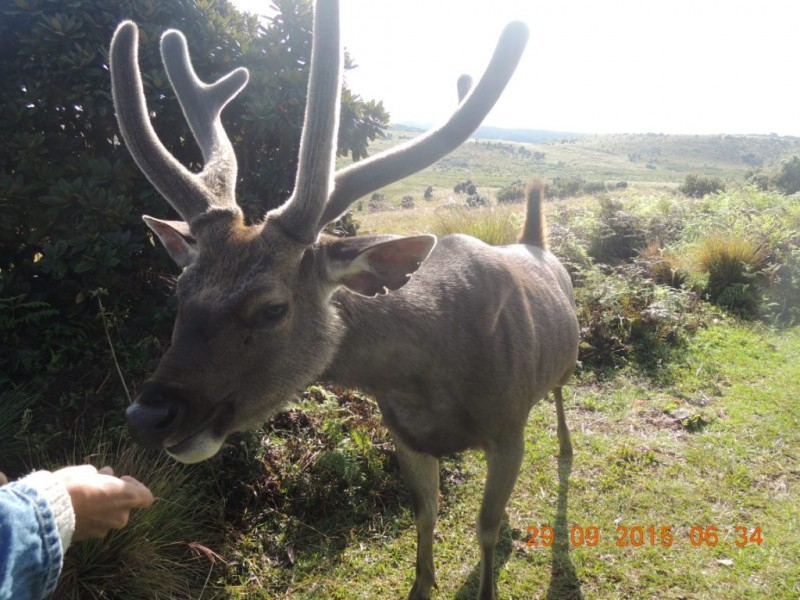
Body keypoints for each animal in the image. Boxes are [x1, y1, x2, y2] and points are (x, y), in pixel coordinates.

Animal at [109, 2, 580, 596]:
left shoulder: (508, 428)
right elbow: (425, 515)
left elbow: (486, 529)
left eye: (273, 307)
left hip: (564, 361)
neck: (433, 371)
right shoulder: (406, 437)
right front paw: (420, 584)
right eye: (180, 290)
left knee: (561, 392)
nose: (148, 415)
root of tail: (538, 243)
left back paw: (566, 447)